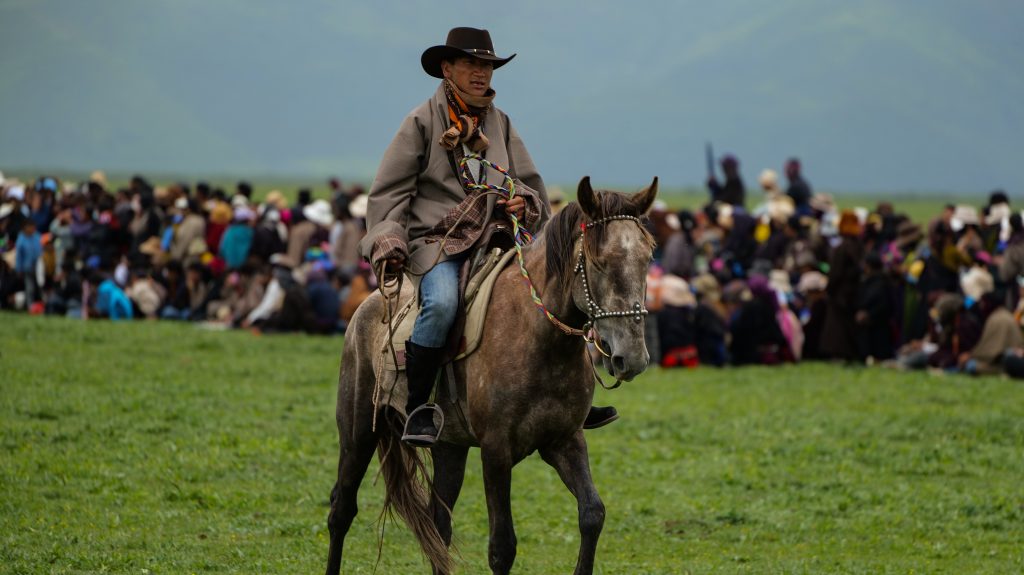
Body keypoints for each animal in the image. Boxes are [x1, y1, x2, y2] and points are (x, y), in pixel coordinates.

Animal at [331, 177, 659, 568]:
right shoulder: (496, 450)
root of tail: (368, 304)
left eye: (648, 258)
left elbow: (592, 514)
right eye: (600, 262)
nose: (633, 357)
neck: (540, 339)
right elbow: (502, 546)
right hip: (358, 431)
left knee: (438, 526)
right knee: (341, 509)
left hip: (449, 445)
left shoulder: (564, 440)